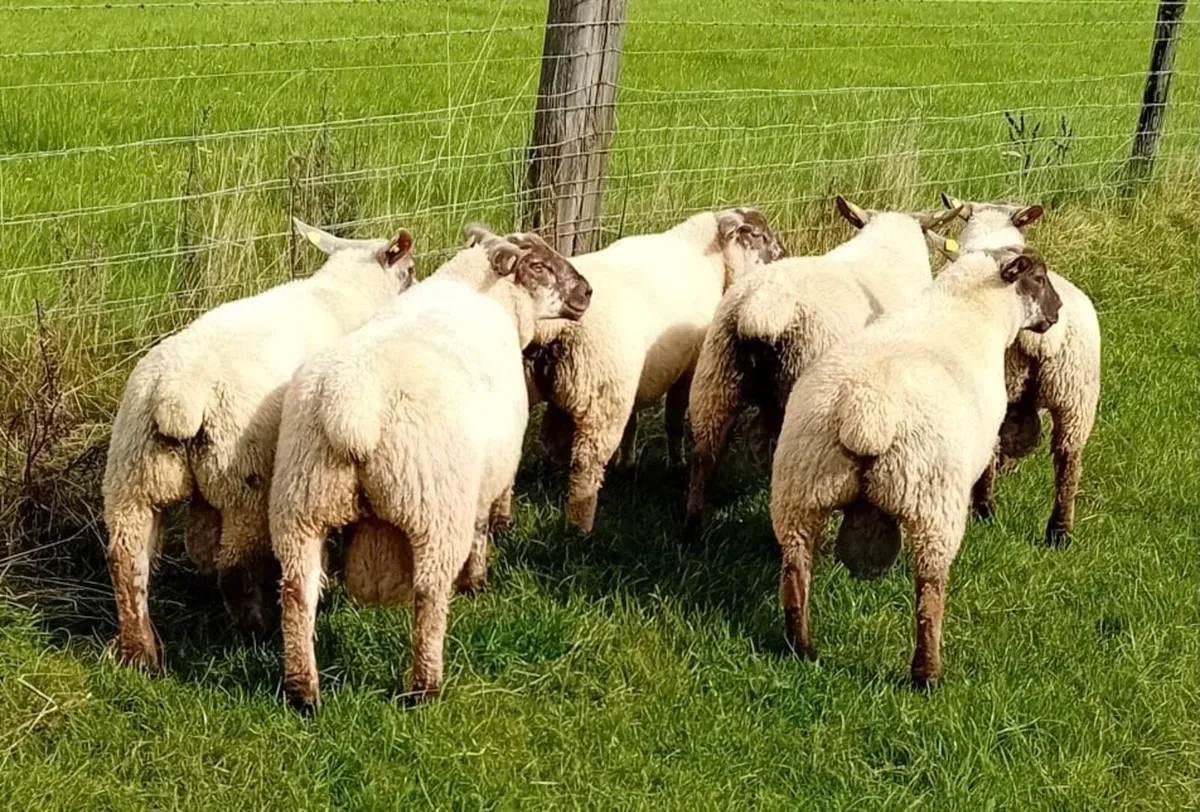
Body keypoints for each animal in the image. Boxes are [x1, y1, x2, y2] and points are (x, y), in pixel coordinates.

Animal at [101, 219, 415, 670]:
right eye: (409, 271)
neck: (345, 291)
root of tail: (176, 395)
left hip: (132, 475)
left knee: (127, 563)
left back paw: (141, 652)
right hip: (242, 481)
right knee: (233, 568)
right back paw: (255, 629)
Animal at [269, 226, 592, 711]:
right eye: (538, 266)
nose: (587, 292)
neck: (479, 291)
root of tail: (352, 409)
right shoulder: (485, 476)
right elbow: (481, 528)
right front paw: (476, 582)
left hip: (301, 504)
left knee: (296, 594)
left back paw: (303, 691)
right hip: (432, 508)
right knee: (428, 596)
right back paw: (425, 686)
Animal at [523, 208, 786, 533]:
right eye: (759, 234)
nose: (783, 253)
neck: (707, 256)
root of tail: (549, 325)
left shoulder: (636, 380)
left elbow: (632, 423)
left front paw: (627, 463)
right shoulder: (688, 367)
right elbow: (673, 421)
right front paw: (676, 464)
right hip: (602, 397)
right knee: (586, 463)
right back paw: (580, 527)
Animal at [770, 244, 1063, 686]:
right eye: (1040, 278)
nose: (1058, 310)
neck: (970, 311)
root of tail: (866, 409)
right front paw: (986, 509)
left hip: (800, 487)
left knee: (795, 570)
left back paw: (801, 648)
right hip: (932, 505)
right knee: (929, 592)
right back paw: (927, 674)